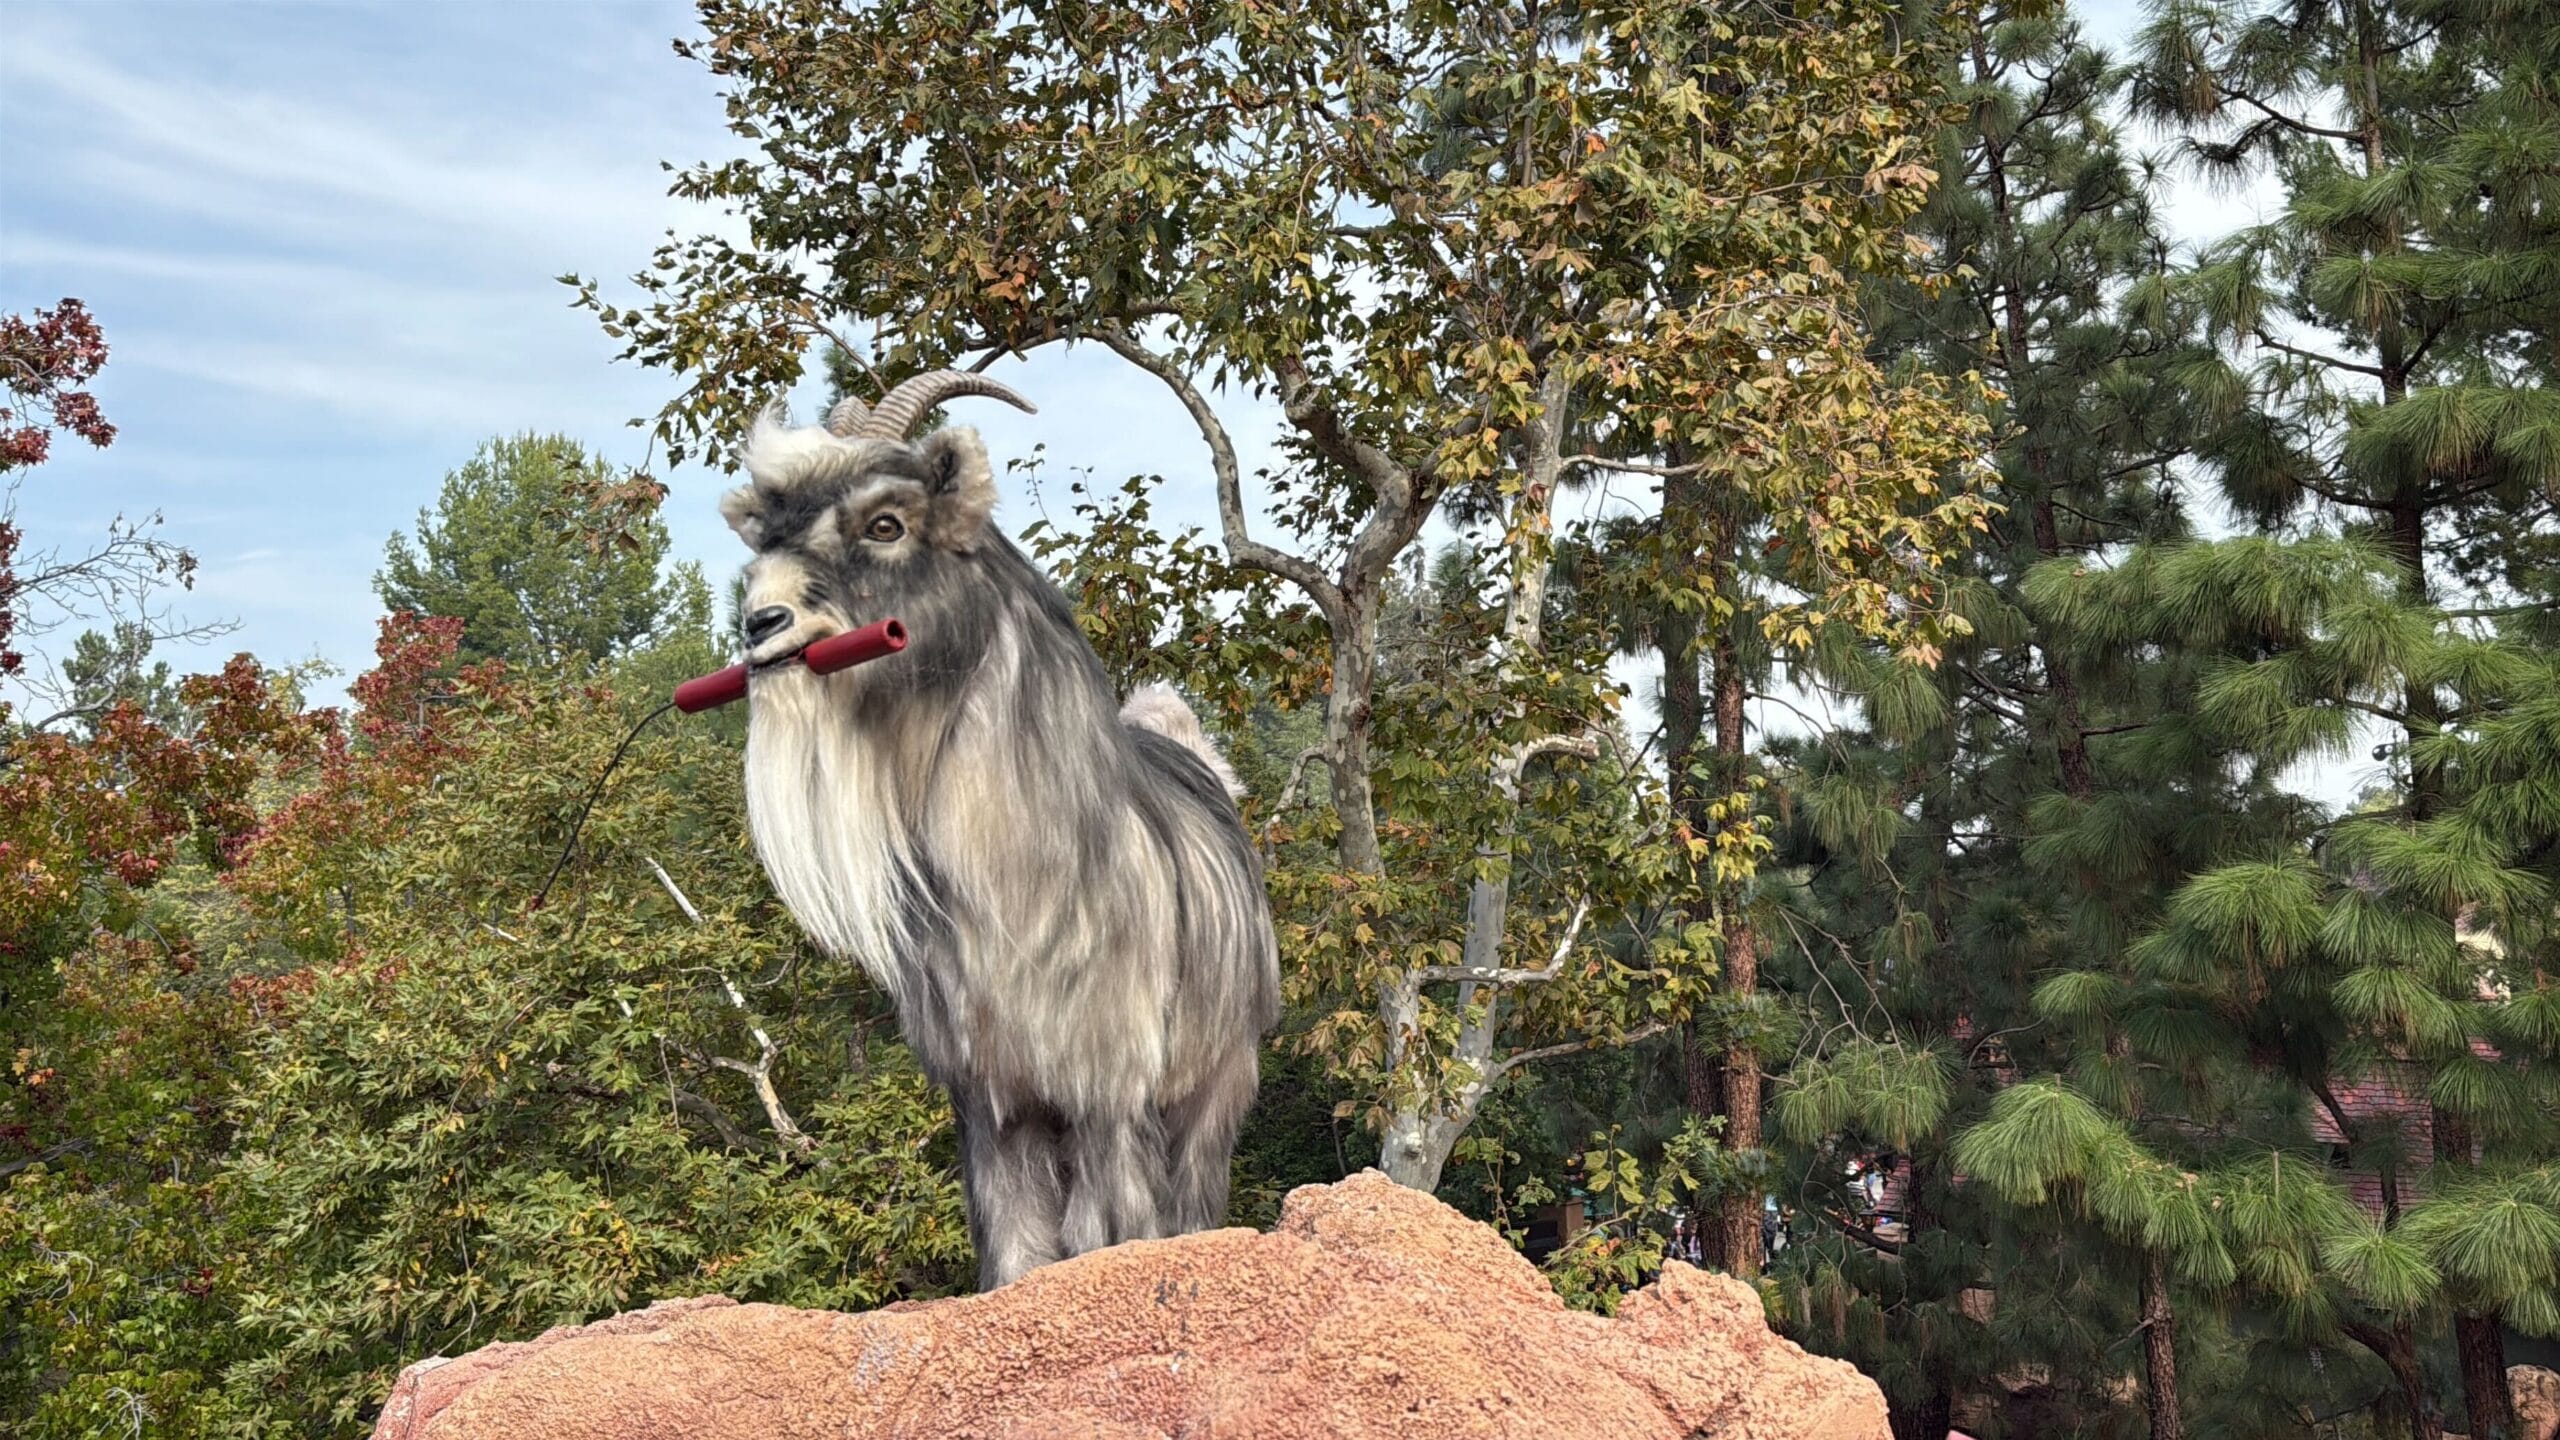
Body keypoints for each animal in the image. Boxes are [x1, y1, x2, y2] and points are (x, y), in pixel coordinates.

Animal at [718, 371, 1280, 1290]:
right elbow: (1013, 1242)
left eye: (886, 522)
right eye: (766, 533)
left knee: (1196, 1188)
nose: (761, 624)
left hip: (1220, 1072)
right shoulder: (991, 1094)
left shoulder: (1110, 1085)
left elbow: (1108, 1229)